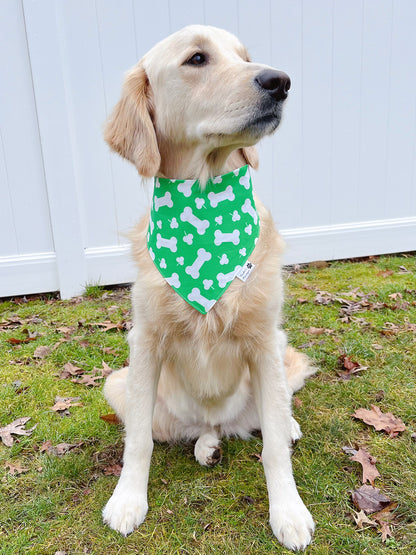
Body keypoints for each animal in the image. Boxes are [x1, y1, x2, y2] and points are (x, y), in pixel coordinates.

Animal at [101, 25, 316, 552]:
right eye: (197, 58)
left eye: (245, 56)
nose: (280, 81)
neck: (203, 203)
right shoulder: (145, 342)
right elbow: (137, 441)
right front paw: (127, 500)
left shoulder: (264, 340)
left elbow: (273, 448)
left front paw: (288, 512)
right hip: (119, 383)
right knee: (194, 428)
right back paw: (208, 445)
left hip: (278, 354)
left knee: (275, 414)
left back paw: (281, 425)